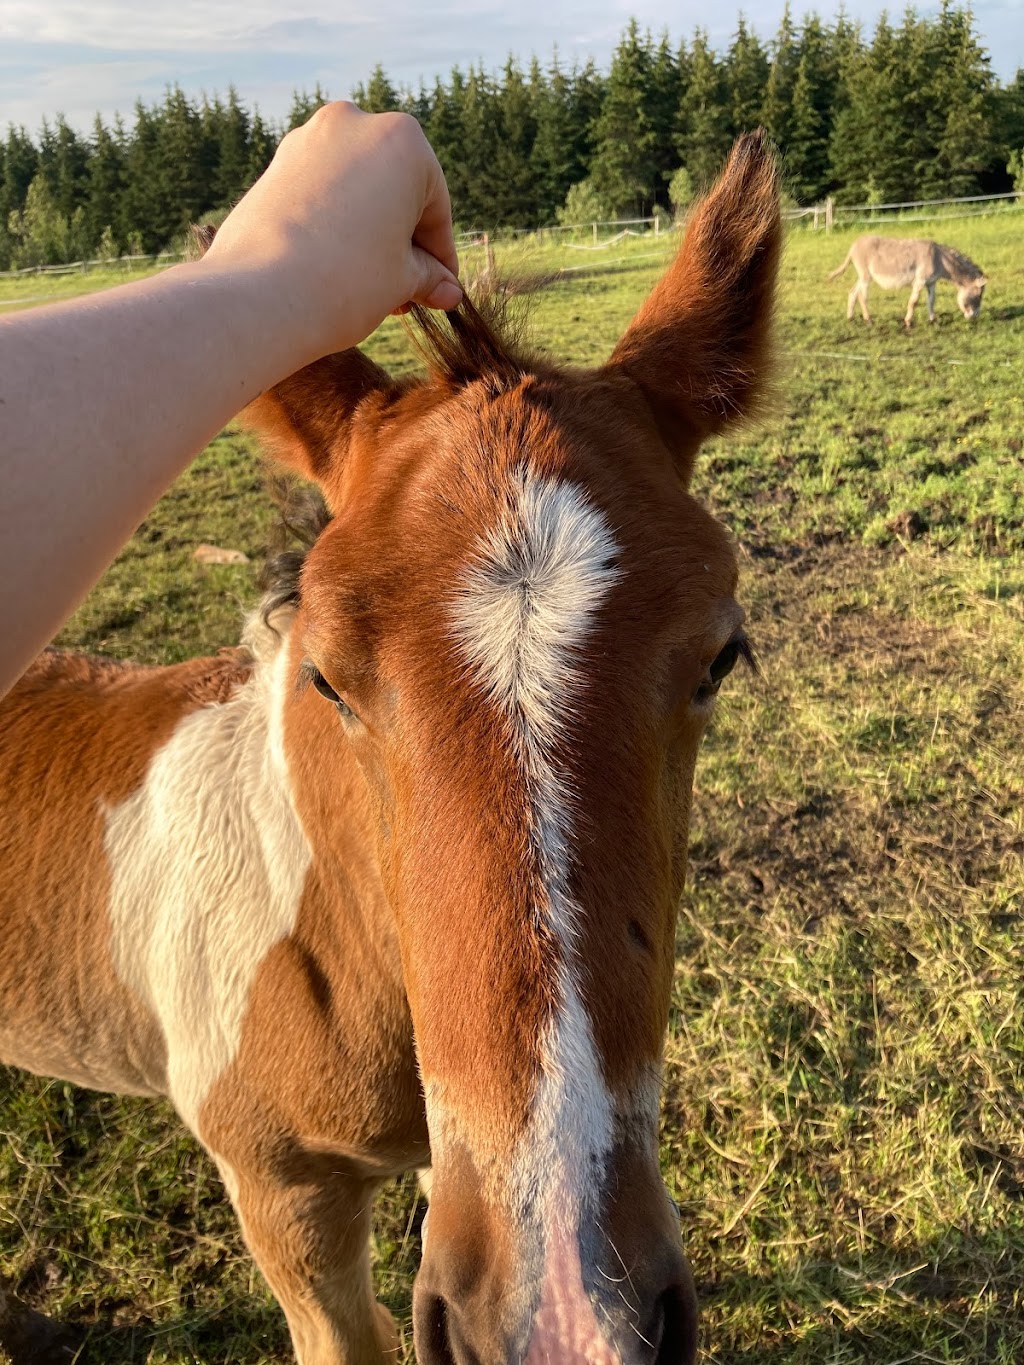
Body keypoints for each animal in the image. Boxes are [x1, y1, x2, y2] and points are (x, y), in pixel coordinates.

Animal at [830, 234, 988, 327]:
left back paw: (850, 318)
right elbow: (914, 302)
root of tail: (853, 246)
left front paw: (933, 320)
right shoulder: (919, 281)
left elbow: (931, 301)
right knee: (863, 297)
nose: (975, 318)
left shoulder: (931, 283)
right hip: (866, 276)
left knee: (852, 293)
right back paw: (868, 320)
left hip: (863, 276)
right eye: (978, 296)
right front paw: (908, 322)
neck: (939, 259)